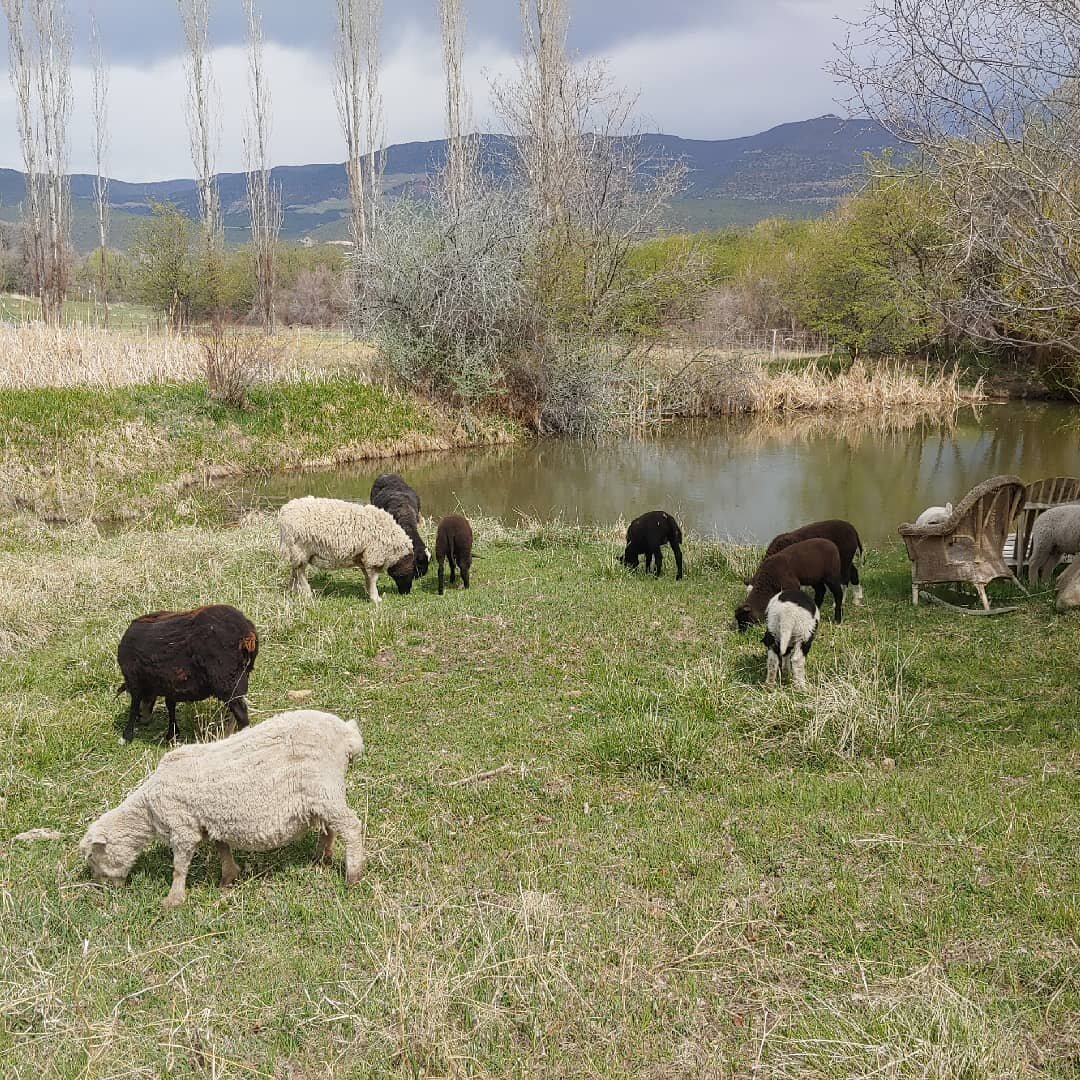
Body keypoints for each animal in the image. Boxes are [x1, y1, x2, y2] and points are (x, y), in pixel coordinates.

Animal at [78, 708, 367, 902]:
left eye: (93, 857)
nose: (102, 889)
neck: (149, 807)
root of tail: (347, 734)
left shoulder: (183, 826)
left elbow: (179, 866)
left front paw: (173, 900)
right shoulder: (210, 820)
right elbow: (222, 848)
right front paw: (228, 878)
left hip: (324, 785)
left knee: (351, 826)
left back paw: (352, 876)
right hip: (323, 793)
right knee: (330, 827)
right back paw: (321, 858)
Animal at [118, 604, 259, 747]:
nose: (143, 719)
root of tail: (246, 632)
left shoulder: (134, 679)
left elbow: (134, 705)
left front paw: (126, 736)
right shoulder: (171, 683)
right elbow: (170, 705)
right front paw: (172, 735)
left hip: (227, 679)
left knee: (241, 713)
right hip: (240, 676)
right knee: (235, 712)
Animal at [276, 494, 414, 604]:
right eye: (412, 573)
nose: (406, 593)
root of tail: (285, 511)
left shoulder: (363, 556)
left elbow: (367, 576)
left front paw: (369, 592)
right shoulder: (374, 555)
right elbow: (373, 578)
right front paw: (376, 598)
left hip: (296, 550)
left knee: (295, 569)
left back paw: (293, 590)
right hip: (301, 548)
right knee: (300, 571)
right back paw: (307, 592)